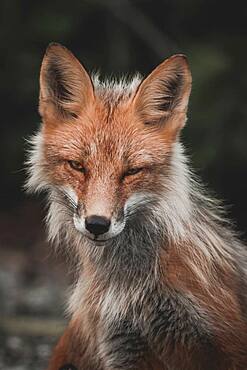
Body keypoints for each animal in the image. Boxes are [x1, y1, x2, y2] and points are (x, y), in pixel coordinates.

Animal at [26, 44, 247, 370]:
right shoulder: (121, 343)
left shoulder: (224, 342)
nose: (97, 224)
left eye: (131, 171)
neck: (135, 286)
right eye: (78, 166)